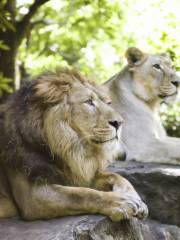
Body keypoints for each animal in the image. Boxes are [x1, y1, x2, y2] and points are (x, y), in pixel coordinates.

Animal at [0, 69, 147, 221]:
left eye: (108, 103)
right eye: (89, 102)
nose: (119, 122)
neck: (68, 148)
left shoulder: (75, 174)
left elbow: (115, 175)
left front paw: (136, 199)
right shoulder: (31, 197)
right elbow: (82, 194)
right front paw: (122, 202)